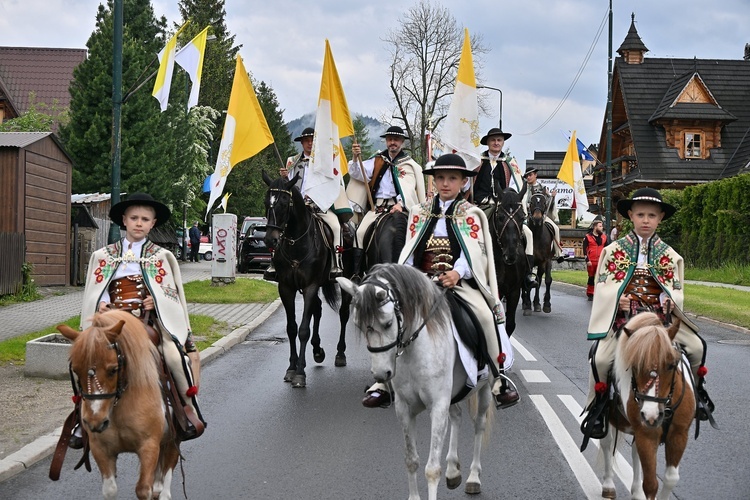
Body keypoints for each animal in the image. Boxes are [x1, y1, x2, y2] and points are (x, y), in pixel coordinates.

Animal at [57, 310, 181, 498]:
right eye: (76, 370)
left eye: (113, 369)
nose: (95, 421)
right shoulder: (100, 450)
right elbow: (110, 490)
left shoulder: (149, 447)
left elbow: (143, 489)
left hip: (174, 441)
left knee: (165, 481)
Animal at [340, 262, 494, 500]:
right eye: (358, 325)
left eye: (387, 323)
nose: (381, 374)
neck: (415, 350)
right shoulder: (405, 409)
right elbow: (411, 460)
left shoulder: (437, 406)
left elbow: (432, 469)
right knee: (457, 416)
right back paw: (453, 470)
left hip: (485, 388)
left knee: (479, 424)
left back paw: (473, 477)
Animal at [604, 312, 696, 500]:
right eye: (635, 365)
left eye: (671, 365)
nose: (650, 415)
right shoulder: (646, 435)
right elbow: (651, 484)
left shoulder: (679, 434)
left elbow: (670, 478)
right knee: (607, 444)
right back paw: (608, 484)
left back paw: (636, 492)